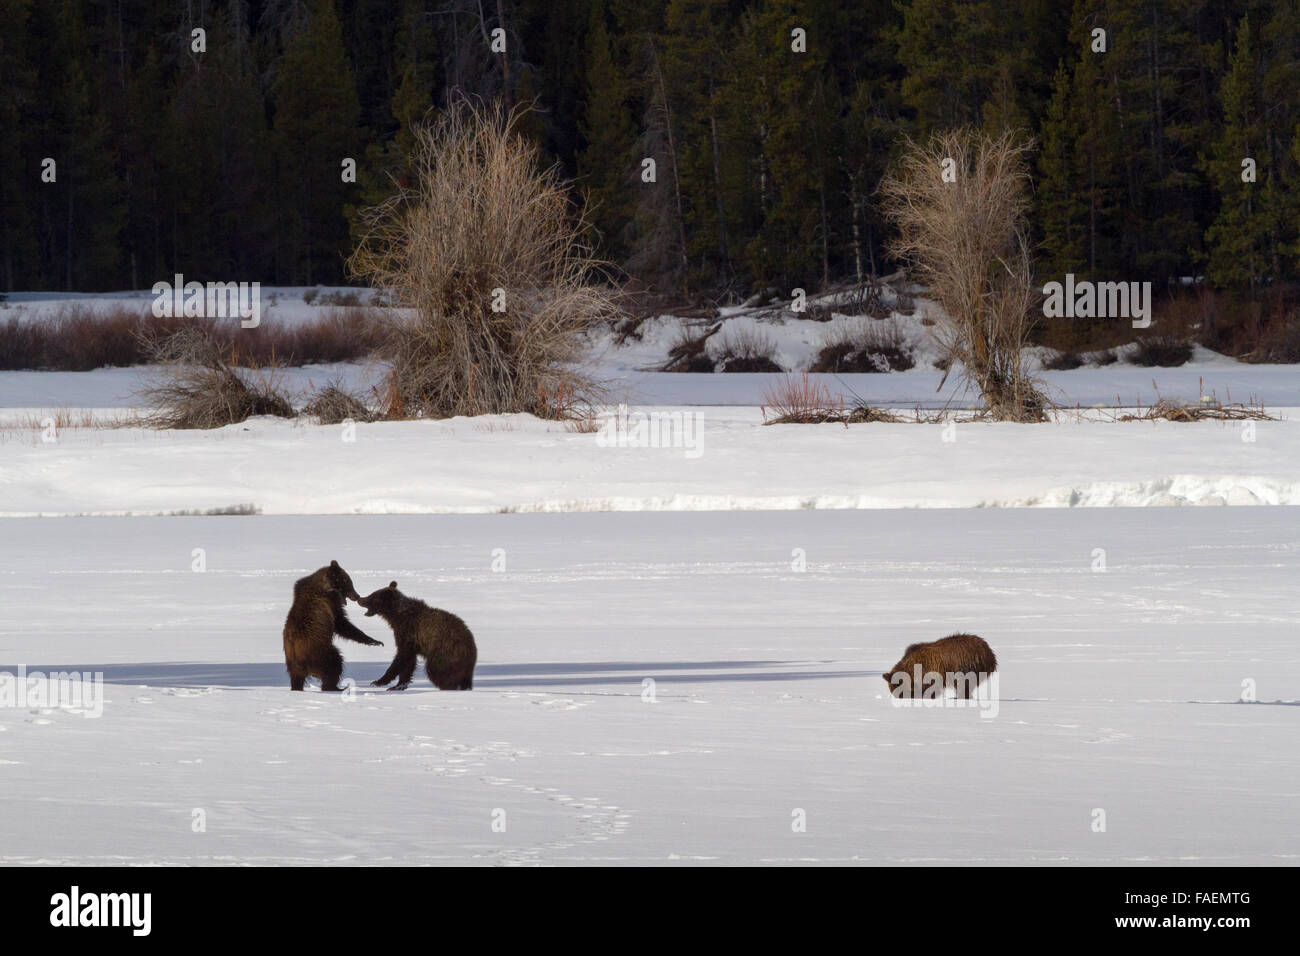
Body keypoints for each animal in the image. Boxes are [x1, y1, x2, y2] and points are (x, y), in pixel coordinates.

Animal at [283, 556, 379, 691]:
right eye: (348, 582)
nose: (357, 595)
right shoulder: (331, 602)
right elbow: (342, 623)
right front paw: (374, 641)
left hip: (292, 661)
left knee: (296, 677)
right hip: (320, 651)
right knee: (335, 662)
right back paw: (335, 687)